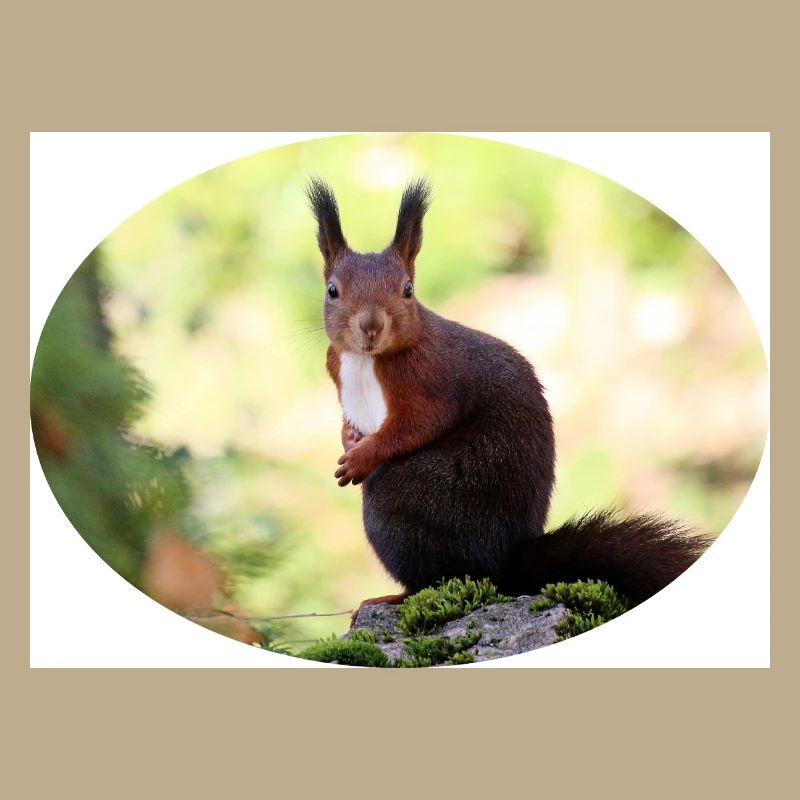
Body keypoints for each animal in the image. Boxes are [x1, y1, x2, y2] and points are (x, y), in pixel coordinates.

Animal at [307, 177, 711, 622]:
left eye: (407, 290)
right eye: (332, 290)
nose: (371, 326)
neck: (366, 359)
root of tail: (502, 562)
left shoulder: (431, 380)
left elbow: (416, 424)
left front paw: (362, 457)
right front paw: (349, 439)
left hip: (405, 501)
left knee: (435, 577)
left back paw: (392, 597)